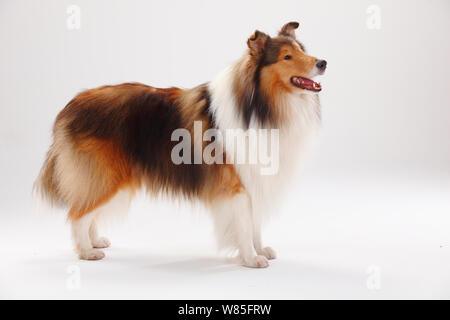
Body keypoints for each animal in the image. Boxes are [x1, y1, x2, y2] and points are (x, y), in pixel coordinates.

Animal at [33, 21, 326, 268]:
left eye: (302, 50)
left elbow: (254, 223)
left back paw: (95, 241)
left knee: (88, 209)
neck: (261, 105)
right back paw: (86, 251)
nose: (323, 62)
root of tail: (69, 107)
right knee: (77, 214)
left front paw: (260, 249)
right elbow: (244, 224)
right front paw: (251, 259)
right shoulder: (236, 185)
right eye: (287, 57)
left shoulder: (254, 180)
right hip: (105, 175)